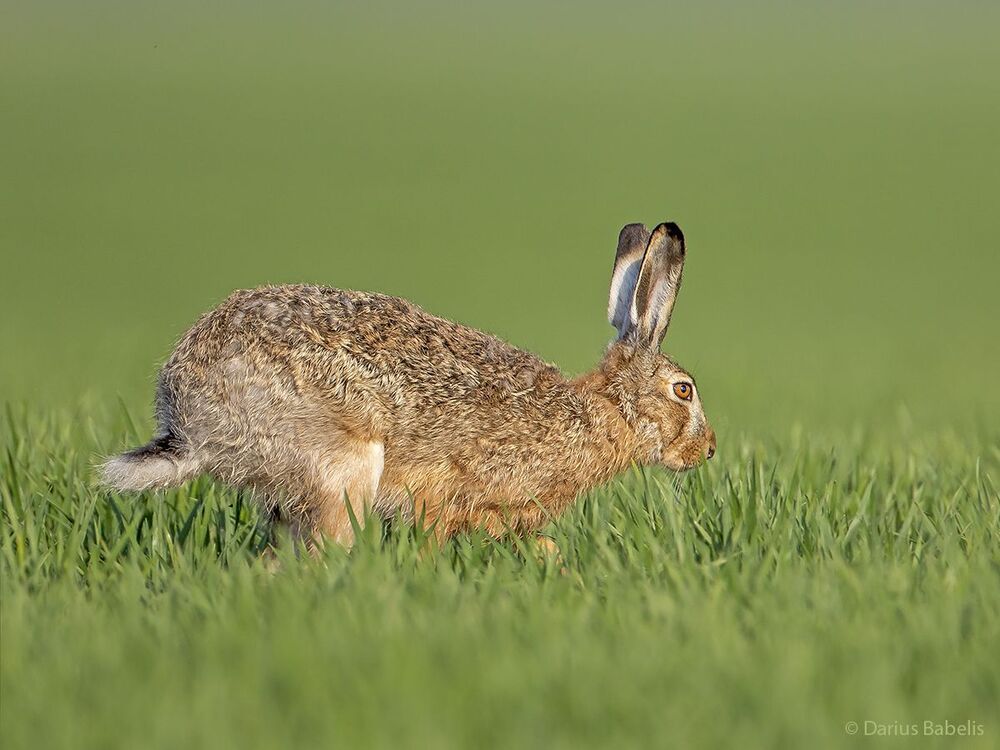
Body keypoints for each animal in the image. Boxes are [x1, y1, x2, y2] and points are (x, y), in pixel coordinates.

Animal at [102, 221, 716, 548]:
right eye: (684, 390)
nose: (707, 450)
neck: (606, 411)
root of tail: (190, 415)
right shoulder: (450, 500)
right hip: (343, 470)